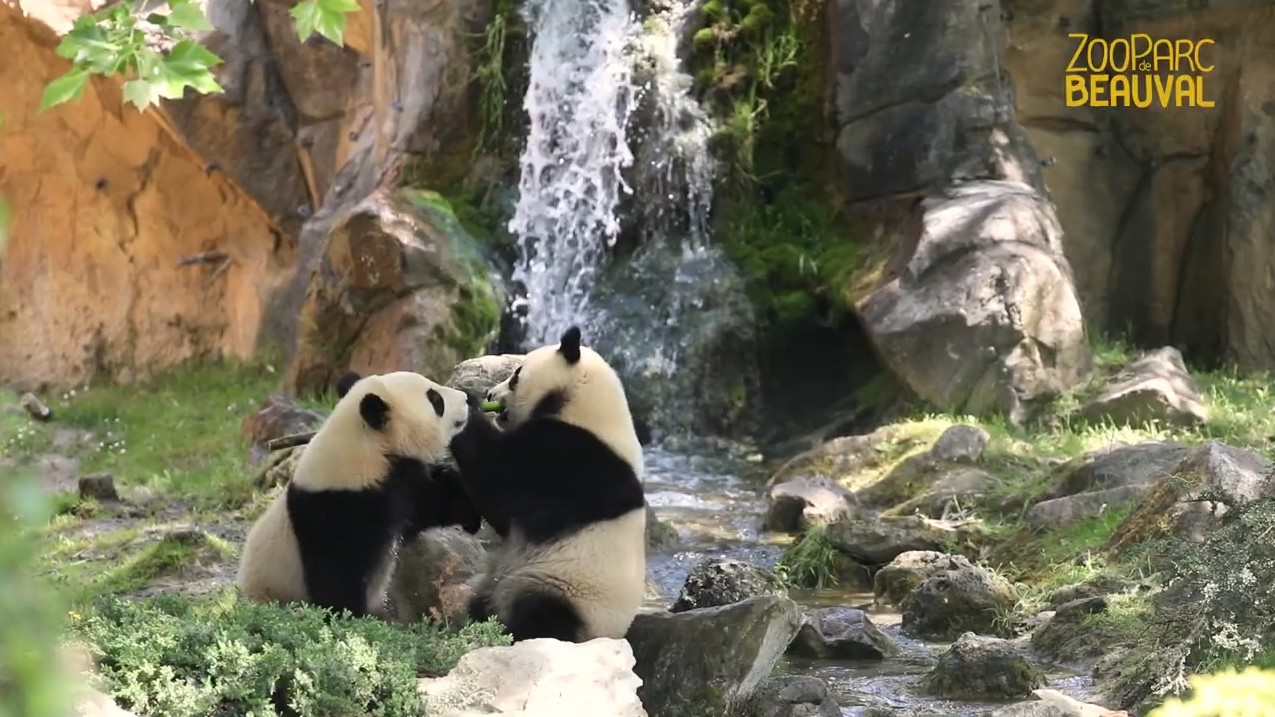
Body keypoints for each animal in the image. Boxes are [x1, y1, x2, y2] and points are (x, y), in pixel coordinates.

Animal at [237, 370, 483, 618]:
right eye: (435, 400)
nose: (466, 399)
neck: (365, 449)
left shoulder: (396, 484)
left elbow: (430, 502)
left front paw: (469, 512)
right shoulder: (338, 510)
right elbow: (338, 575)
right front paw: (352, 617)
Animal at [448, 325, 647, 643]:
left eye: (516, 374)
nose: (490, 393)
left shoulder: (574, 458)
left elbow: (499, 478)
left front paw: (466, 404)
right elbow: (502, 515)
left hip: (567, 588)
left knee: (542, 613)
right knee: (481, 598)